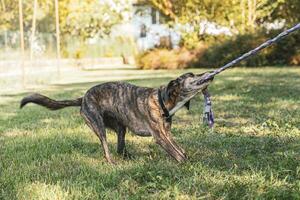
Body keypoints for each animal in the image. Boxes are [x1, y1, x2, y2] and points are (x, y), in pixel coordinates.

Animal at [20, 72, 213, 163]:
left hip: (121, 127)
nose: (210, 73)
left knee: (120, 148)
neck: (162, 100)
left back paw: (129, 158)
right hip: (98, 125)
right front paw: (186, 165)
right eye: (191, 76)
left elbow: (180, 149)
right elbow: (177, 153)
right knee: (106, 149)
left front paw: (189, 158)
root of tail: (83, 98)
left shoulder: (167, 133)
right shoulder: (160, 136)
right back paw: (112, 162)